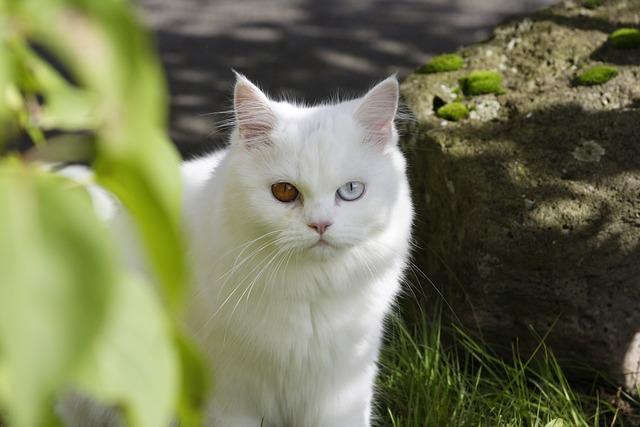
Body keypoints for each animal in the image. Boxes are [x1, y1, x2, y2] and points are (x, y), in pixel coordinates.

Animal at [182, 75, 416, 426]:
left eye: (351, 190)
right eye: (284, 191)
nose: (320, 224)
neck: (310, 296)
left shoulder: (343, 392)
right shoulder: (231, 400)